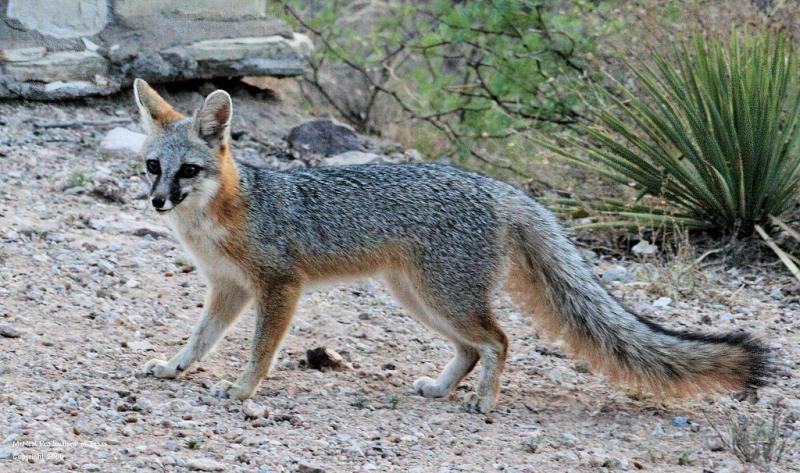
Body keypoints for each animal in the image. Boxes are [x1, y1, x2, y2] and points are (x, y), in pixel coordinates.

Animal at [134, 79, 764, 412]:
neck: (220, 218)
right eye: (152, 167)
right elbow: (200, 339)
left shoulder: (279, 286)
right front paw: (174, 367)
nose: (158, 202)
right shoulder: (229, 290)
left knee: (499, 340)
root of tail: (503, 188)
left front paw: (242, 390)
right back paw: (440, 387)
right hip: (418, 297)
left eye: (188, 171)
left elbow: (259, 350)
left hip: (443, 297)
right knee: (472, 348)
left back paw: (485, 401)